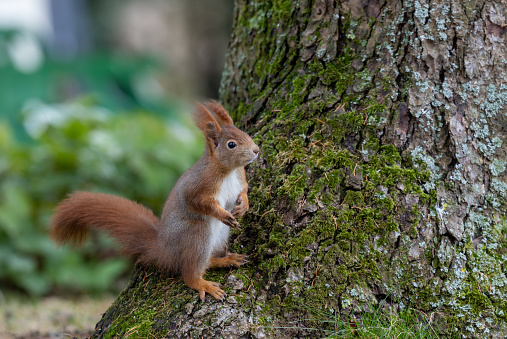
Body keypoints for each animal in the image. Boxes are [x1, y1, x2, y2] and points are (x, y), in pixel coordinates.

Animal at [49, 100, 260, 300]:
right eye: (231, 144)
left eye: (245, 133)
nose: (257, 150)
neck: (228, 171)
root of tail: (164, 249)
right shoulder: (198, 186)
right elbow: (198, 202)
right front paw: (222, 214)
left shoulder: (240, 179)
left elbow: (244, 191)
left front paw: (244, 205)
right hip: (195, 233)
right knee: (188, 272)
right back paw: (202, 283)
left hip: (220, 236)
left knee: (206, 261)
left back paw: (225, 260)